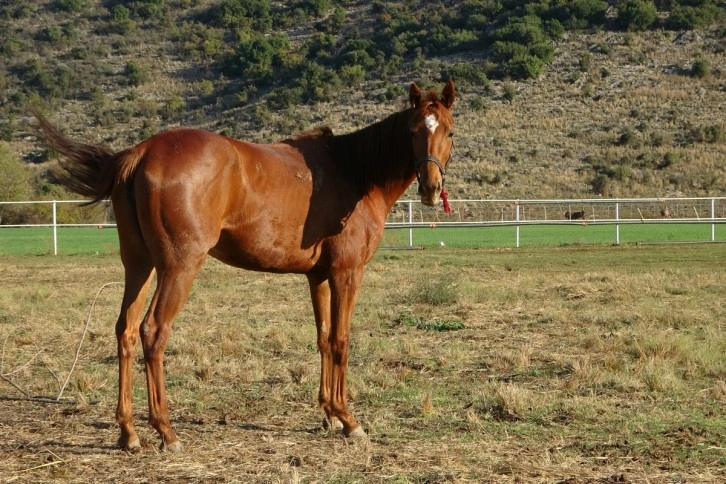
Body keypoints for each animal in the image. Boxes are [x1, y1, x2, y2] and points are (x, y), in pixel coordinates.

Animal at [37, 81, 458, 452]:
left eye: (449, 132)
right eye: (414, 130)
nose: (431, 189)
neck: (353, 172)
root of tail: (142, 151)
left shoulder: (318, 277)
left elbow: (323, 338)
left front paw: (328, 414)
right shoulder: (346, 274)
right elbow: (341, 340)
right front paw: (348, 419)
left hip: (139, 265)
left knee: (125, 331)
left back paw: (129, 433)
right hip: (178, 266)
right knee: (153, 332)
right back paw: (166, 431)